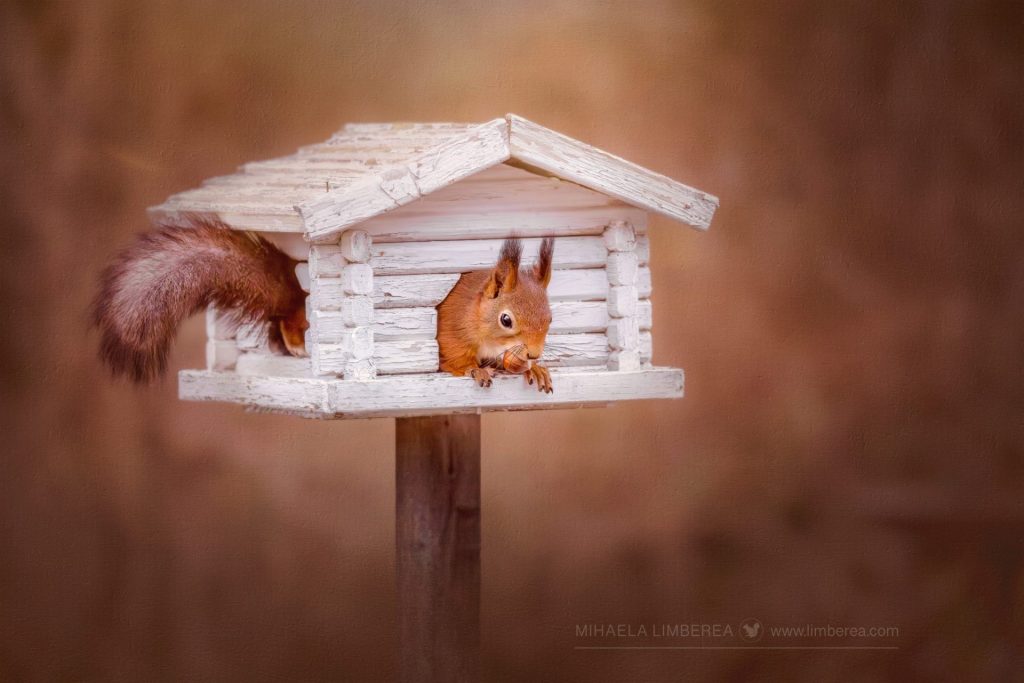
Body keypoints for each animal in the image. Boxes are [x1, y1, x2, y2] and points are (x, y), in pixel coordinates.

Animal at [436, 237, 556, 393]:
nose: (534, 355)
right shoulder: (452, 334)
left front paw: (535, 369)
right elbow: (454, 362)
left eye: (550, 319)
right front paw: (476, 370)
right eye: (506, 320)